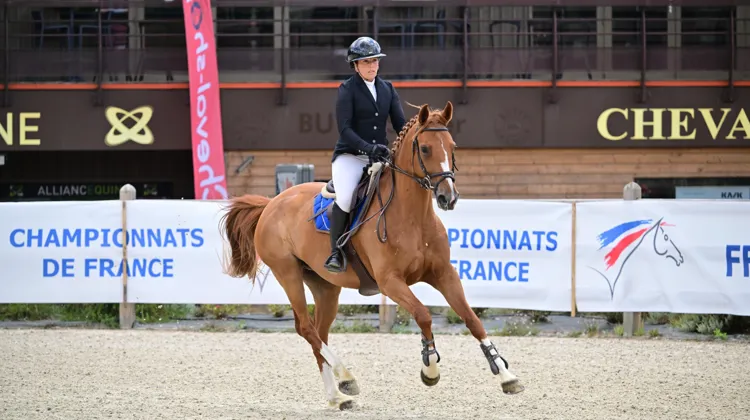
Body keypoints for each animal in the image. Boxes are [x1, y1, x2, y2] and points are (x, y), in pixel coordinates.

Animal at [220, 101, 525, 410]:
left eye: (452, 146)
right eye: (426, 149)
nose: (447, 198)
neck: (414, 218)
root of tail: (271, 203)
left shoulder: (443, 274)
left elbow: (472, 319)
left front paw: (506, 375)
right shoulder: (390, 282)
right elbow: (423, 314)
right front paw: (430, 368)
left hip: (325, 286)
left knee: (318, 332)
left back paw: (337, 396)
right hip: (288, 273)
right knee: (306, 328)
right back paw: (346, 377)